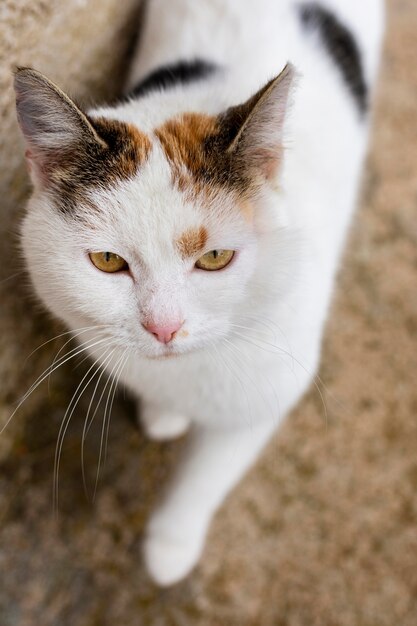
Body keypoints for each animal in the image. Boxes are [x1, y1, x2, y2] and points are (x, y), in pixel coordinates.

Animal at [13, 0, 384, 584]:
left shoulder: (271, 386)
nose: (164, 328)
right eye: (108, 261)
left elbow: (206, 478)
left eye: (214, 258)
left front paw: (171, 545)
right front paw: (164, 413)